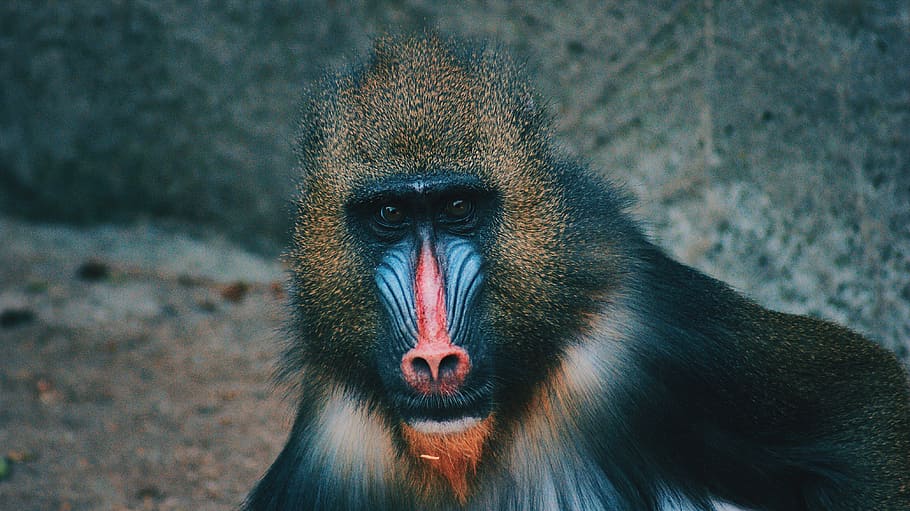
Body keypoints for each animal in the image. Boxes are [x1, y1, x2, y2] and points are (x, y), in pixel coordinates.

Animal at [243, 36, 910, 511]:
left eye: (458, 208)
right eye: (389, 215)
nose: (434, 359)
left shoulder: (641, 331)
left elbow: (860, 405)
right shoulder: (333, 445)